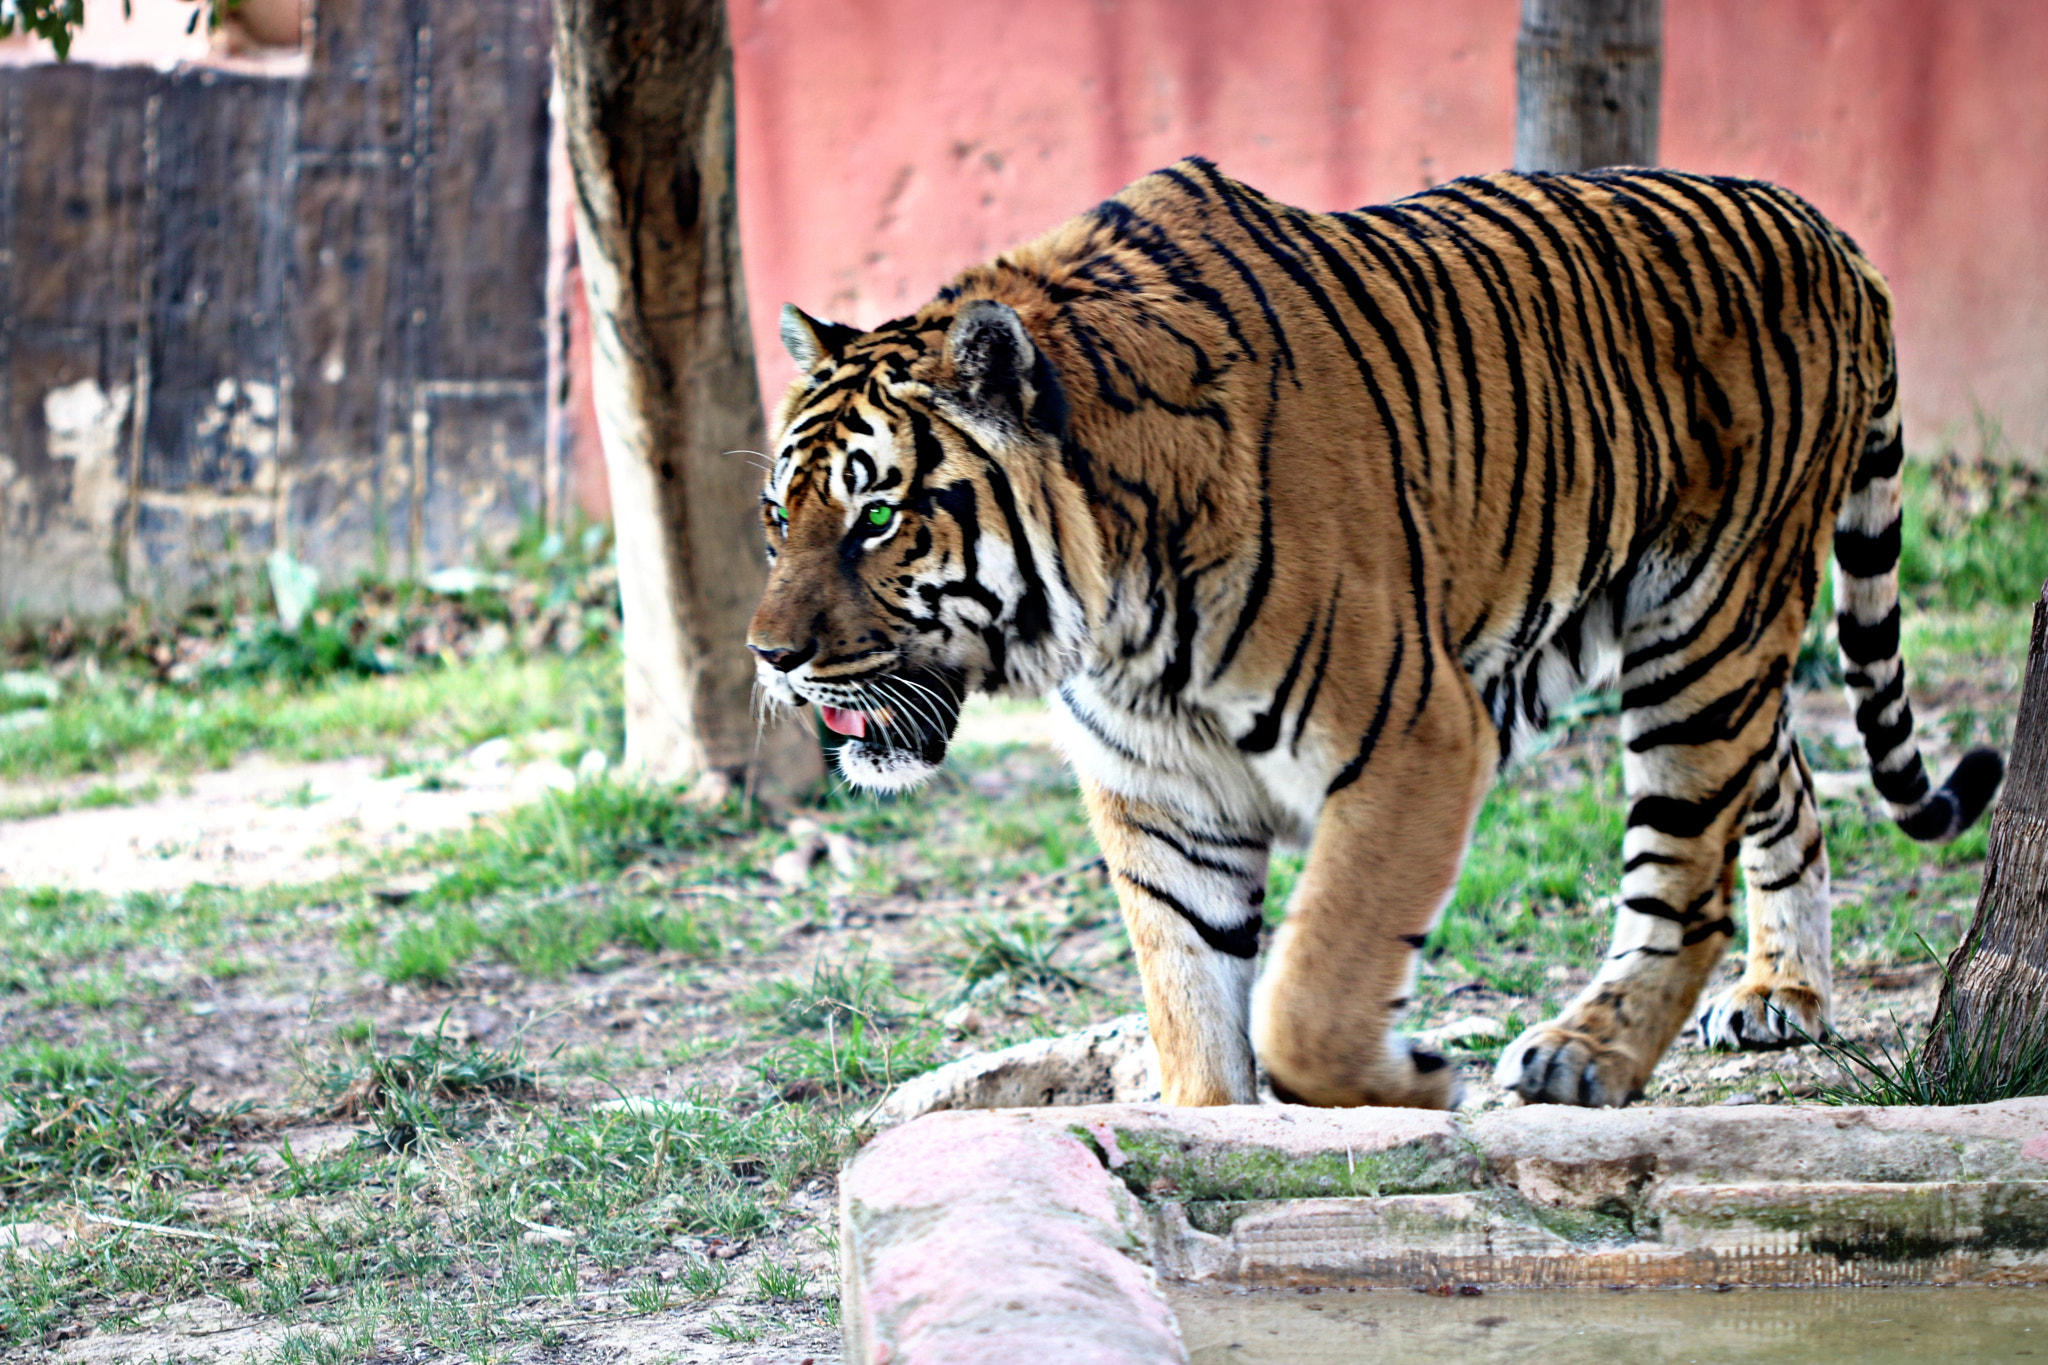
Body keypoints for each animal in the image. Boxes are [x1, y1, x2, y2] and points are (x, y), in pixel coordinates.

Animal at [745, 156, 2003, 1109]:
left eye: (876, 515)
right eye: (776, 516)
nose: (771, 659)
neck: (1115, 617)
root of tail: (1823, 229)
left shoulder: (1414, 736)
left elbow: (1307, 990)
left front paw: (1417, 1078)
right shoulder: (1158, 793)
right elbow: (1192, 1009)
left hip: (1709, 615)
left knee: (1682, 878)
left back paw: (1583, 1056)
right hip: (1698, 638)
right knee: (1783, 784)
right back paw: (1778, 996)